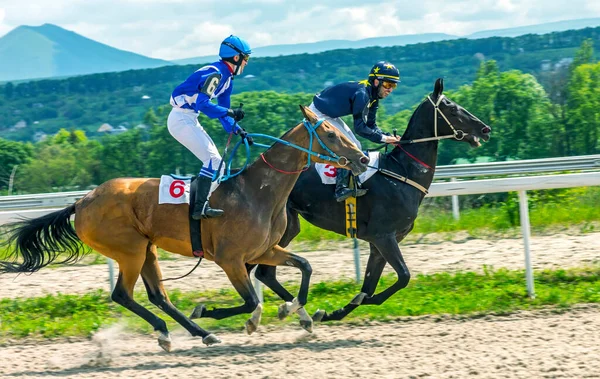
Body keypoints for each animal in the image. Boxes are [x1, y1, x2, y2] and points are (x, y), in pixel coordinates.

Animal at [0, 105, 370, 352]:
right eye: (331, 134)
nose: (363, 159)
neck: (256, 191)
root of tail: (81, 202)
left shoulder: (265, 249)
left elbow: (304, 267)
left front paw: (293, 310)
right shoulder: (230, 259)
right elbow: (250, 301)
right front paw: (215, 311)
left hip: (146, 249)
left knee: (157, 296)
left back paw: (193, 333)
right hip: (129, 251)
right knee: (123, 295)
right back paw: (177, 330)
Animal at [253, 80, 492, 324]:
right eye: (452, 109)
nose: (485, 130)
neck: (401, 172)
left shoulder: (380, 243)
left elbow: (369, 286)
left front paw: (333, 312)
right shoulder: (383, 236)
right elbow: (403, 277)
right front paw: (357, 301)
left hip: (289, 228)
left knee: (264, 273)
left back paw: (298, 311)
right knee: (261, 271)